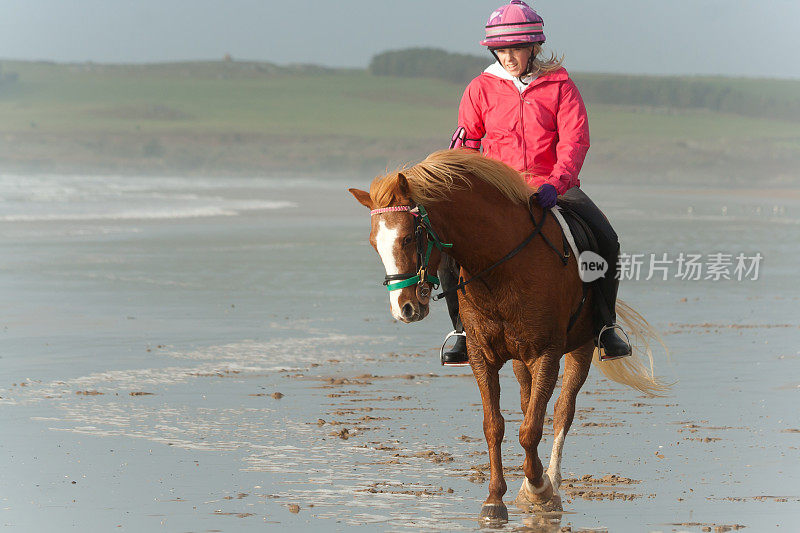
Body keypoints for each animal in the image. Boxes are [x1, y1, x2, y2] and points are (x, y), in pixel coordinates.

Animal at [350, 149, 668, 520]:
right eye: (375, 243)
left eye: (408, 238)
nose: (404, 308)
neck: (500, 267)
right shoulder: (482, 357)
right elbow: (495, 426)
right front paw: (495, 499)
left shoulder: (546, 353)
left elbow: (531, 429)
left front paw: (540, 489)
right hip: (520, 360)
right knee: (530, 401)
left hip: (580, 347)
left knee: (562, 410)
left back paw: (550, 479)